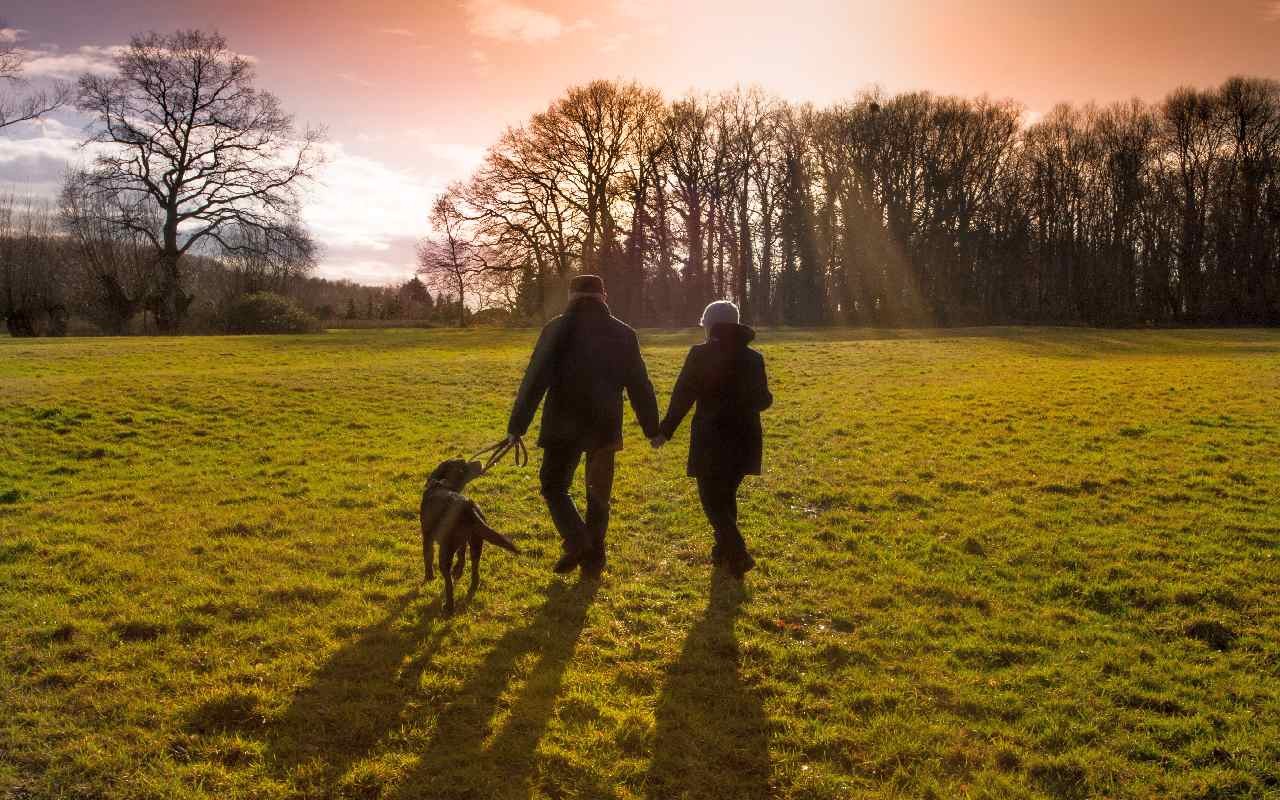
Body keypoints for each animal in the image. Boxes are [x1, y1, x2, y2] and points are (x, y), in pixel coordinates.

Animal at [419, 455, 519, 611]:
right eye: (463, 466)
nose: (479, 461)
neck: (441, 484)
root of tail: (467, 506)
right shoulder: (463, 541)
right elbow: (461, 555)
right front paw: (458, 571)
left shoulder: (427, 536)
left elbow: (428, 557)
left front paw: (429, 577)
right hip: (476, 542)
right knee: (475, 569)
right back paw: (472, 588)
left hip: (445, 552)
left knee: (448, 582)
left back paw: (449, 607)